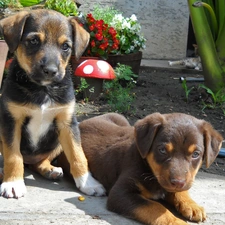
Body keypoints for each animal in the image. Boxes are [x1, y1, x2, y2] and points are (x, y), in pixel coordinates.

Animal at [0, 8, 104, 199]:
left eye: (65, 46)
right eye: (34, 40)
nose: (50, 70)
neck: (43, 90)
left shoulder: (67, 123)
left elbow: (78, 155)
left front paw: (88, 183)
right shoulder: (11, 120)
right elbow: (13, 155)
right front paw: (13, 183)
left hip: (57, 142)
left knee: (40, 161)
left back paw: (50, 170)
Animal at [59, 113, 223, 225]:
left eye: (196, 154)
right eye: (162, 150)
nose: (177, 182)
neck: (149, 169)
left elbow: (179, 192)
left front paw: (192, 205)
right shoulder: (121, 193)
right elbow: (156, 207)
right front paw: (177, 222)